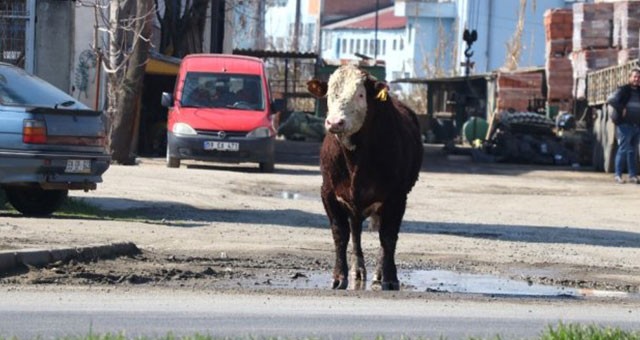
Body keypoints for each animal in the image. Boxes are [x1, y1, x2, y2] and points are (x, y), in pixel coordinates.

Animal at [308, 63, 422, 290]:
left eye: (360, 94)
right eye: (329, 94)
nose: (335, 122)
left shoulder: (397, 197)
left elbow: (388, 237)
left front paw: (390, 277)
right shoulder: (329, 193)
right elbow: (340, 234)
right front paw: (339, 276)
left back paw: (379, 273)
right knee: (356, 233)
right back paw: (358, 270)